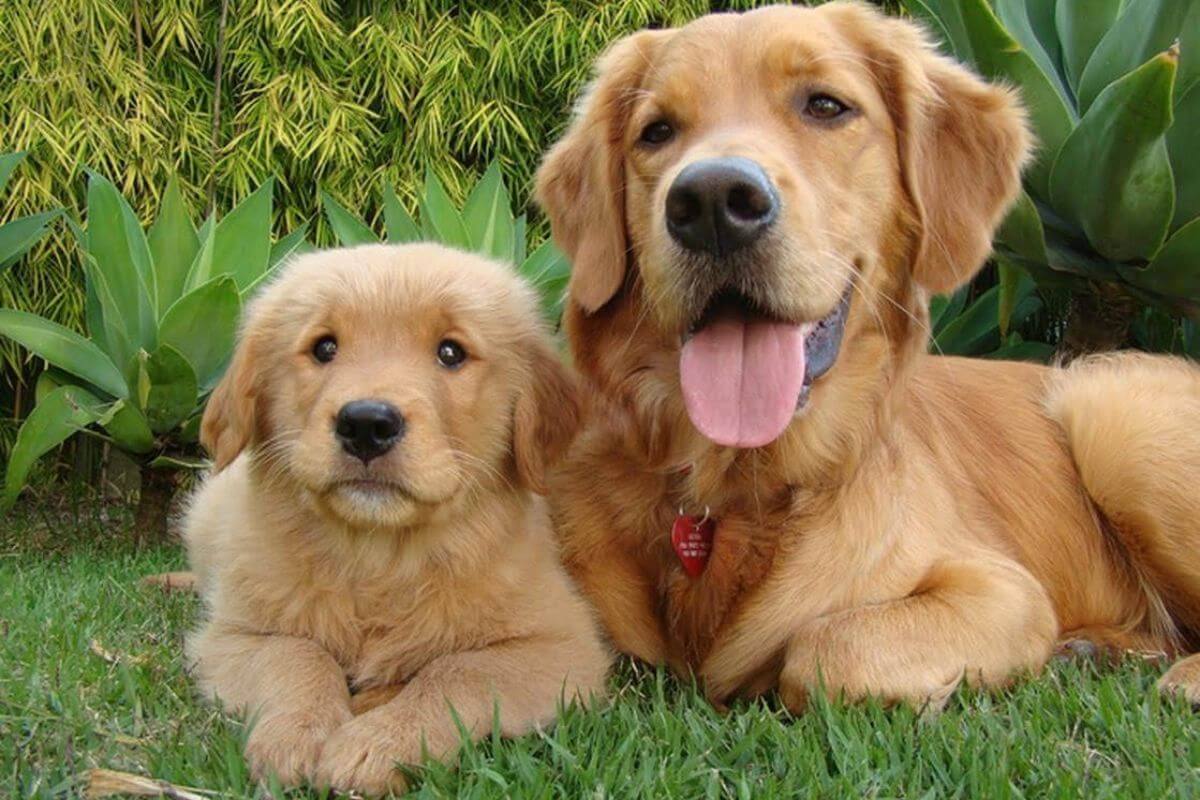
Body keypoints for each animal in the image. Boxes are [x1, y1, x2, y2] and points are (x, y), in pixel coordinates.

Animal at [180, 242, 609, 796]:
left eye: (450, 353)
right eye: (324, 348)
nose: (366, 424)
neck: (379, 555)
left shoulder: (563, 647)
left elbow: (457, 672)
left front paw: (377, 741)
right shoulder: (234, 635)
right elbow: (296, 656)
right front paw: (296, 735)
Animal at [535, 0, 1200, 714]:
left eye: (826, 106)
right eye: (656, 132)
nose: (712, 203)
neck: (731, 493)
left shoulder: (1004, 592)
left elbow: (822, 648)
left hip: (1113, 417)